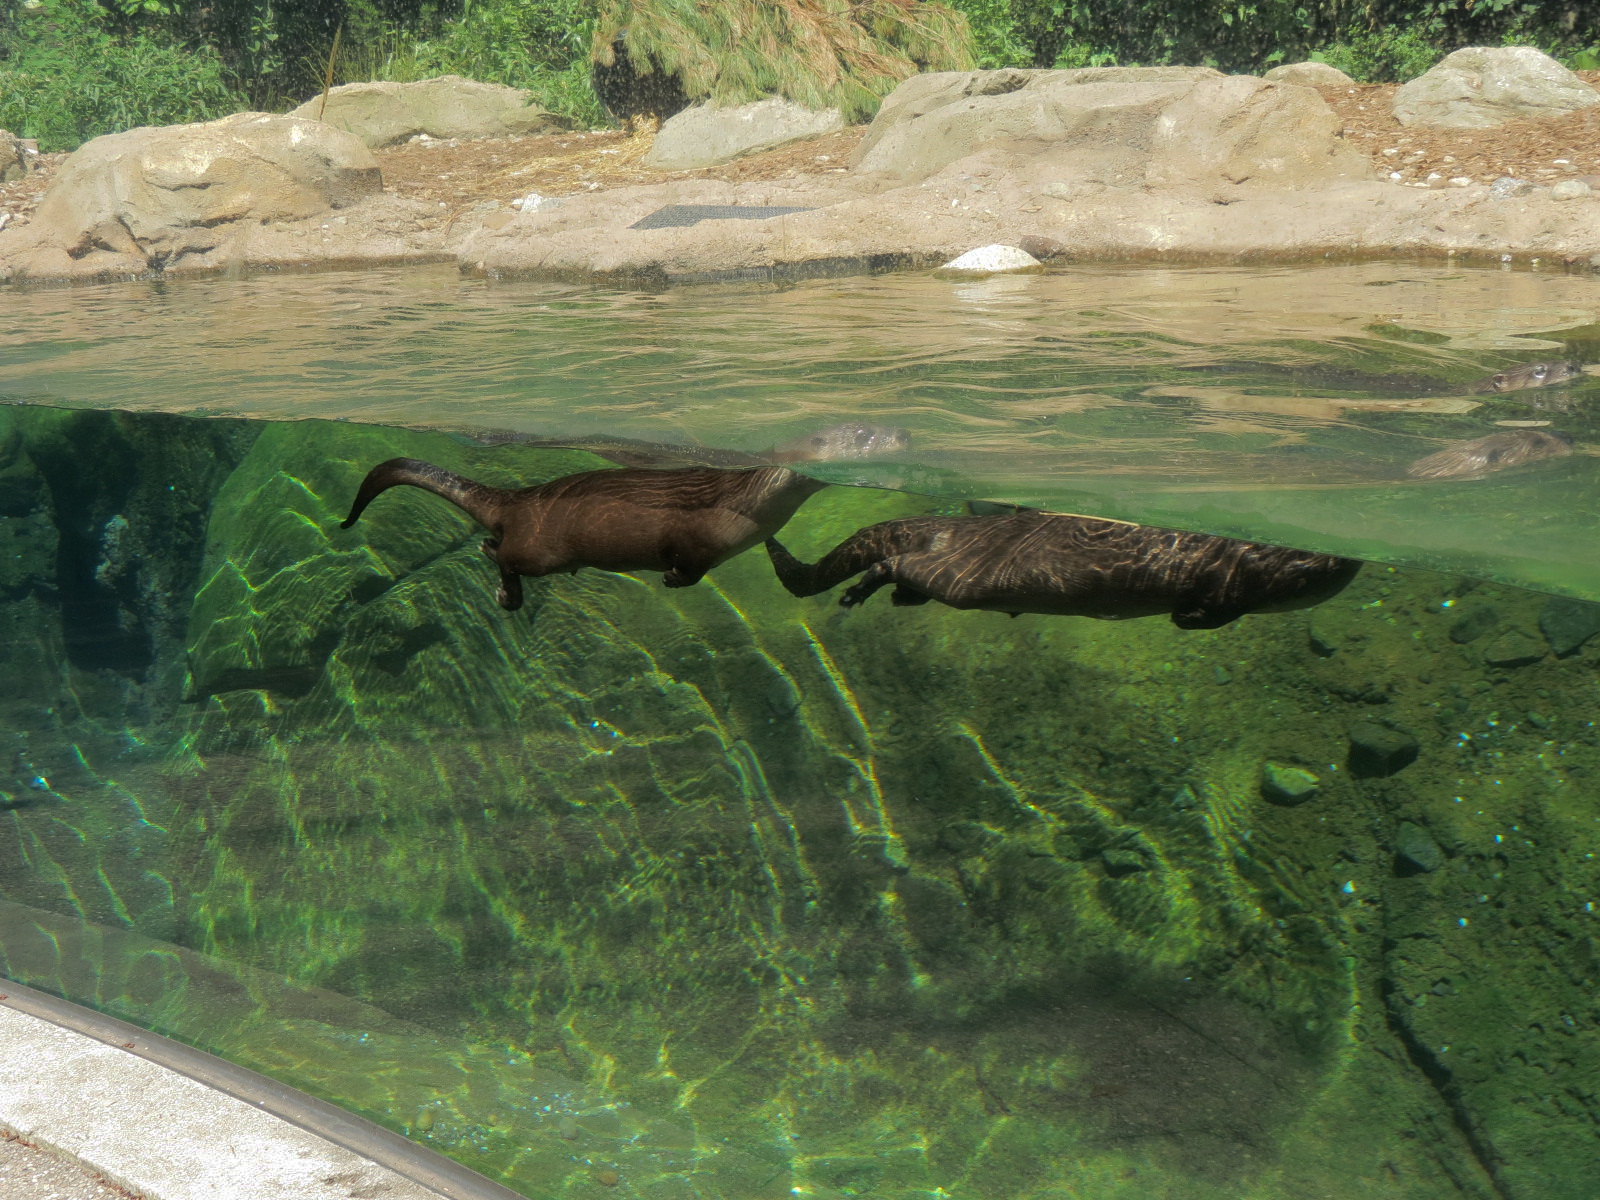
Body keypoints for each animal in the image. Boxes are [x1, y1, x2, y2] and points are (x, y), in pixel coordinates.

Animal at [343, 461, 833, 610]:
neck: (745, 501)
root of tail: (519, 499)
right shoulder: (699, 539)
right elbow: (687, 564)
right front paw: (671, 579)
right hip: (542, 549)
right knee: (506, 555)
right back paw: (504, 590)